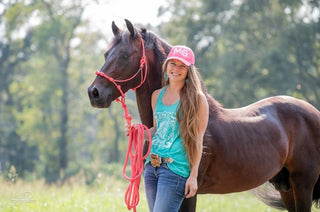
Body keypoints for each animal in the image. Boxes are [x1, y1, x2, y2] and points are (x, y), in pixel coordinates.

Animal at [87, 19, 320, 211]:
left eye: (124, 55)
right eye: (106, 54)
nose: (94, 93)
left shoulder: (189, 193)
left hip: (303, 185)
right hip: (286, 187)